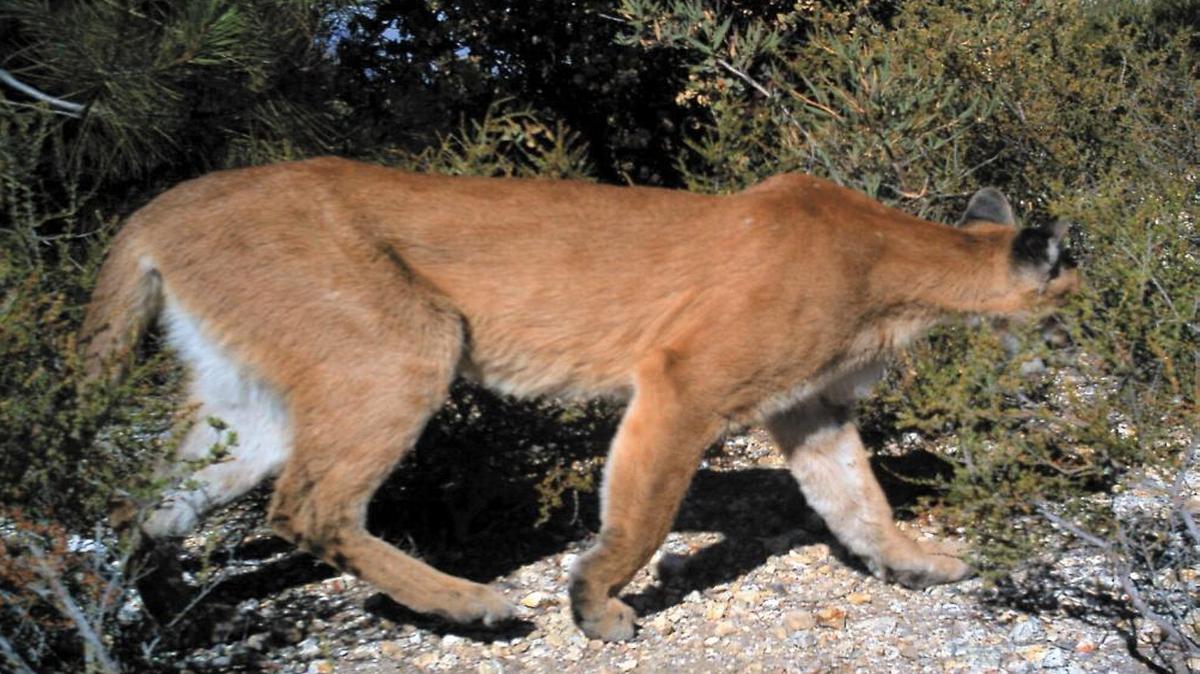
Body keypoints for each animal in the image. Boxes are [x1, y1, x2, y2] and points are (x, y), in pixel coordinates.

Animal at [81, 158, 1078, 641]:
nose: (1091, 324)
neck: (896, 262)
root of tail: (160, 207)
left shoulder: (808, 409)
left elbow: (858, 500)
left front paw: (918, 563)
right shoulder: (683, 381)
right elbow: (641, 513)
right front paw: (595, 605)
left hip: (242, 409)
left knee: (144, 501)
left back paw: (164, 612)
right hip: (405, 344)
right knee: (308, 507)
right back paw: (470, 605)